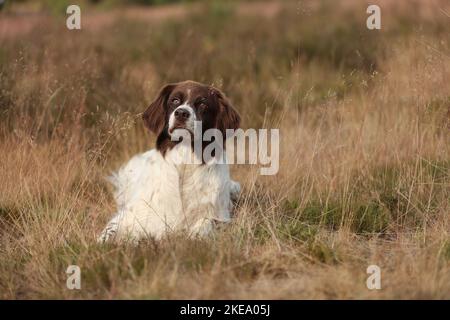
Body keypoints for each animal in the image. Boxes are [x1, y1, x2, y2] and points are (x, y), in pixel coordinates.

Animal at [97, 80, 241, 242]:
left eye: (202, 103)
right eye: (175, 100)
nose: (181, 113)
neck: (184, 159)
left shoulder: (220, 216)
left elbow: (207, 222)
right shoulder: (133, 214)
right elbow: (111, 230)